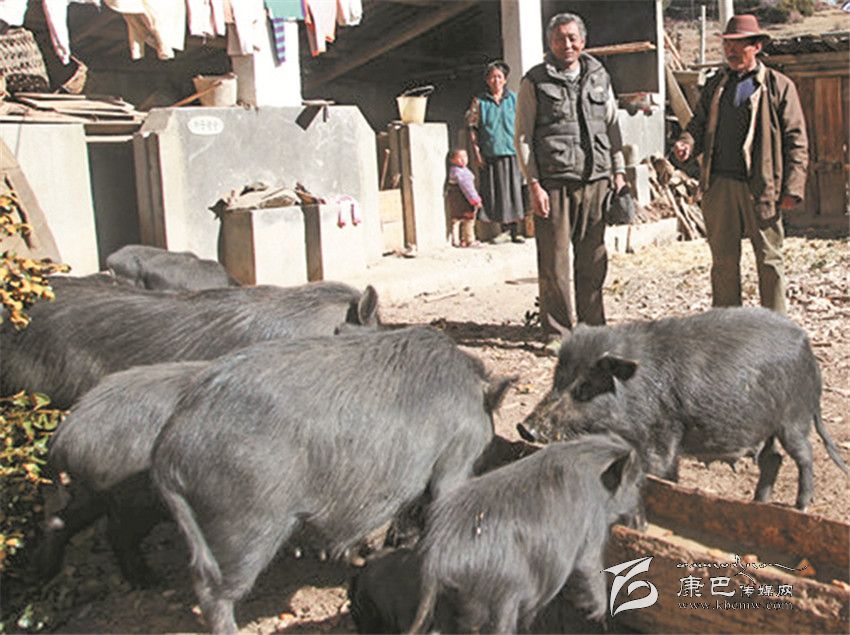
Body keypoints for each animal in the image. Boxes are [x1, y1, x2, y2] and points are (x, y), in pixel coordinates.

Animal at [35, 361, 207, 587]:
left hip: (99, 492)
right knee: (117, 534)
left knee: (61, 519)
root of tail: (62, 439)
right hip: (135, 501)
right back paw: (147, 580)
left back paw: (44, 573)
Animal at [409, 434, 644, 634]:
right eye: (636, 483)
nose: (641, 523)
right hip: (502, 594)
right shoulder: (593, 529)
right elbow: (591, 567)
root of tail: (436, 559)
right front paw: (601, 614)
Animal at [518, 307, 850, 511]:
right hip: (766, 426)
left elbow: (662, 471)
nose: (524, 427)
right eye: (557, 379)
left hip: (794, 417)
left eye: (585, 387)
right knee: (773, 459)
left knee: (804, 455)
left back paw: (801, 505)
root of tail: (807, 346)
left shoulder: (663, 433)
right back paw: (758, 503)